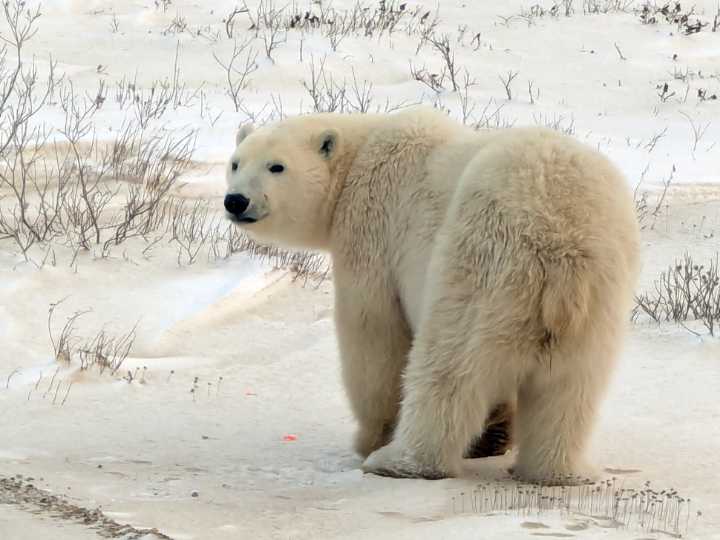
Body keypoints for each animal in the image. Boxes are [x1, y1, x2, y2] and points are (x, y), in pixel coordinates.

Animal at [223, 106, 640, 484]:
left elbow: (374, 337)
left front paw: (371, 437)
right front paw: (494, 435)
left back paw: (400, 461)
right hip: (602, 293)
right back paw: (557, 471)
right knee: (572, 385)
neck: (360, 154)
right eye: (235, 163)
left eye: (277, 166)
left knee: (450, 363)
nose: (235, 201)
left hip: (483, 259)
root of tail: (562, 236)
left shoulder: (372, 230)